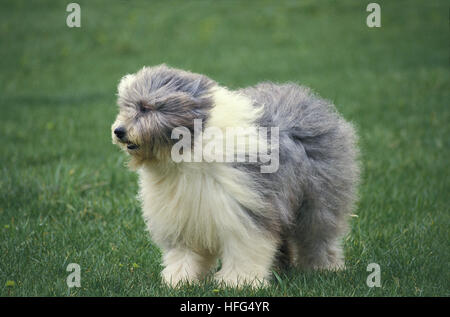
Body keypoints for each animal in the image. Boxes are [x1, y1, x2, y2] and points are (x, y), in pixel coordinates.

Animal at [111, 64, 358, 286]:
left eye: (146, 108)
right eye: (126, 106)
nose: (118, 131)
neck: (190, 147)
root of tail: (311, 101)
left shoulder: (247, 206)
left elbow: (245, 247)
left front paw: (239, 282)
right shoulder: (183, 213)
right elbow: (184, 252)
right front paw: (179, 280)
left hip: (318, 200)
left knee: (318, 235)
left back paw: (324, 268)